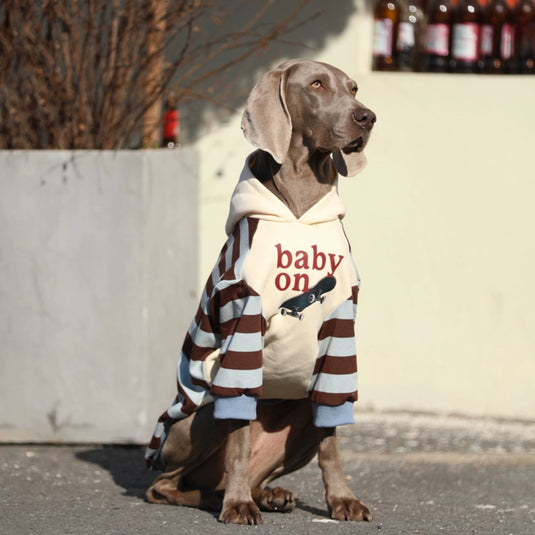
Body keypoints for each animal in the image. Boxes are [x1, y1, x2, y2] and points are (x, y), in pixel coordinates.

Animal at [144, 58, 374, 524]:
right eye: (317, 85)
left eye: (353, 88)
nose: (368, 118)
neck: (300, 206)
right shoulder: (243, 315)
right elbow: (239, 437)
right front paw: (236, 506)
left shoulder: (341, 322)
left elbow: (332, 440)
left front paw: (342, 500)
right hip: (202, 416)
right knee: (166, 485)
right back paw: (220, 497)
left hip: (301, 415)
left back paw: (267, 494)